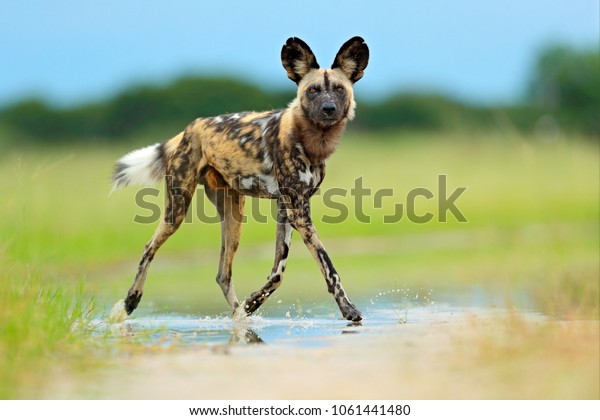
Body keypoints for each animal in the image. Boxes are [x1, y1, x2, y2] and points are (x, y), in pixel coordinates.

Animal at [110, 37, 368, 322]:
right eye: (313, 90)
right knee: (148, 249)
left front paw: (251, 303)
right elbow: (327, 265)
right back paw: (130, 301)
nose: (328, 109)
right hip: (176, 211)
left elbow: (277, 273)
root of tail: (188, 130)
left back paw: (238, 315)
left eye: (339, 89)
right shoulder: (298, 211)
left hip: (233, 217)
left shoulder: (288, 209)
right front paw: (348, 309)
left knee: (223, 274)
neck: (311, 141)